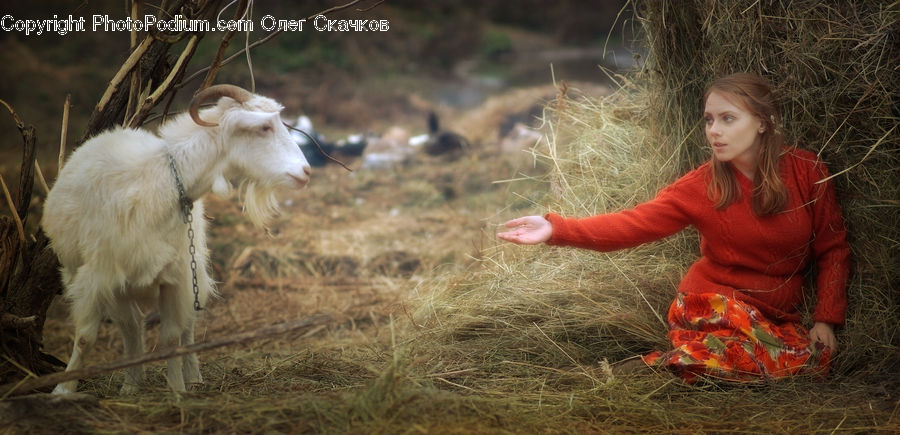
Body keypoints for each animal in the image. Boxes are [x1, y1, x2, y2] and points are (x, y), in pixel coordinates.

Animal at [42, 85, 311, 394]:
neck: (164, 183)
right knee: (130, 323)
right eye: (265, 127)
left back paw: (189, 376)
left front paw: (178, 390)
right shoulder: (96, 274)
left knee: (184, 327)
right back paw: (131, 383)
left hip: (192, 270)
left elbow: (172, 337)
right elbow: (86, 337)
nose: (306, 172)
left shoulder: (175, 275)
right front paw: (63, 391)